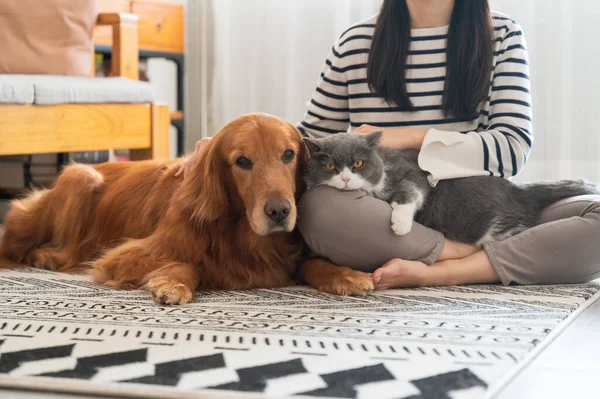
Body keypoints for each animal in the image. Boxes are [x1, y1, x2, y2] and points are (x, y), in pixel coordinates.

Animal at [0, 112, 372, 304]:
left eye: (288, 154)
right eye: (242, 161)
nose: (279, 212)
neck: (244, 234)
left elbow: (310, 264)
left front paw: (345, 274)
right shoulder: (123, 256)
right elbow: (191, 262)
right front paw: (172, 283)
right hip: (80, 176)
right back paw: (46, 256)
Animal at [304, 133, 600, 245]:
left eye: (357, 163)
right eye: (329, 166)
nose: (344, 179)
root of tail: (519, 189)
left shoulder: (413, 173)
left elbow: (411, 192)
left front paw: (400, 224)